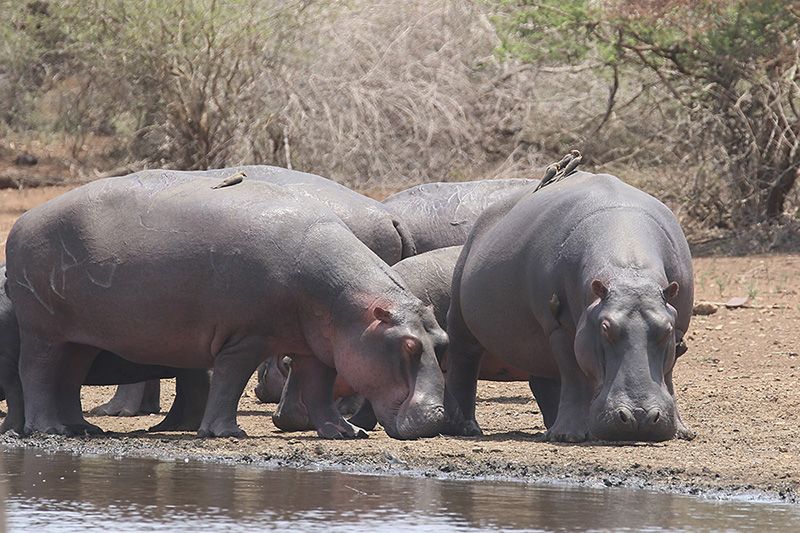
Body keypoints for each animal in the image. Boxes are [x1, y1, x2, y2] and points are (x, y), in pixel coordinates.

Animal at [3, 172, 446, 438]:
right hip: (43, 331)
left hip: (80, 337)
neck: (348, 303)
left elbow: (319, 388)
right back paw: (48, 430)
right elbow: (231, 381)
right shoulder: (245, 338)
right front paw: (226, 433)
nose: (439, 417)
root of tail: (22, 221)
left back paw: (80, 429)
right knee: (36, 373)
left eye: (442, 341)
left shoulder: (316, 346)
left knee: (68, 377)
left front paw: (344, 432)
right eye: (407, 346)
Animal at [444, 170, 692, 440]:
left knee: (543, 378)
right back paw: (468, 428)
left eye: (666, 329)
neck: (629, 271)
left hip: (535, 340)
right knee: (463, 363)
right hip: (461, 318)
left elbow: (668, 375)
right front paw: (569, 435)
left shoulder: (678, 329)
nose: (640, 417)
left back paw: (552, 426)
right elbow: (574, 374)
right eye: (605, 327)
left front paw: (682, 432)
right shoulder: (560, 327)